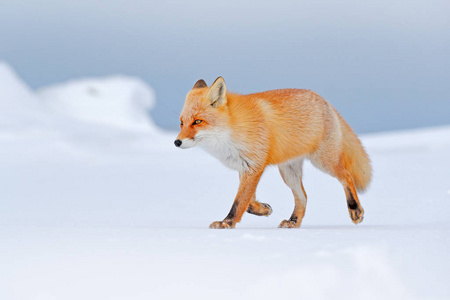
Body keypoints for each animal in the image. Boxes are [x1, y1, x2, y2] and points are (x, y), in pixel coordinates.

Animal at [174, 77, 370, 227]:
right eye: (182, 123)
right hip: (289, 173)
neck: (231, 131)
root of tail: (325, 101)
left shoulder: (254, 166)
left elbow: (239, 202)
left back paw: (355, 210)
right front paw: (263, 209)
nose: (177, 142)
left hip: (323, 162)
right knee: (304, 197)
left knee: (346, 176)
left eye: (198, 121)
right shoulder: (245, 168)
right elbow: (248, 202)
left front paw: (226, 223)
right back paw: (293, 222)